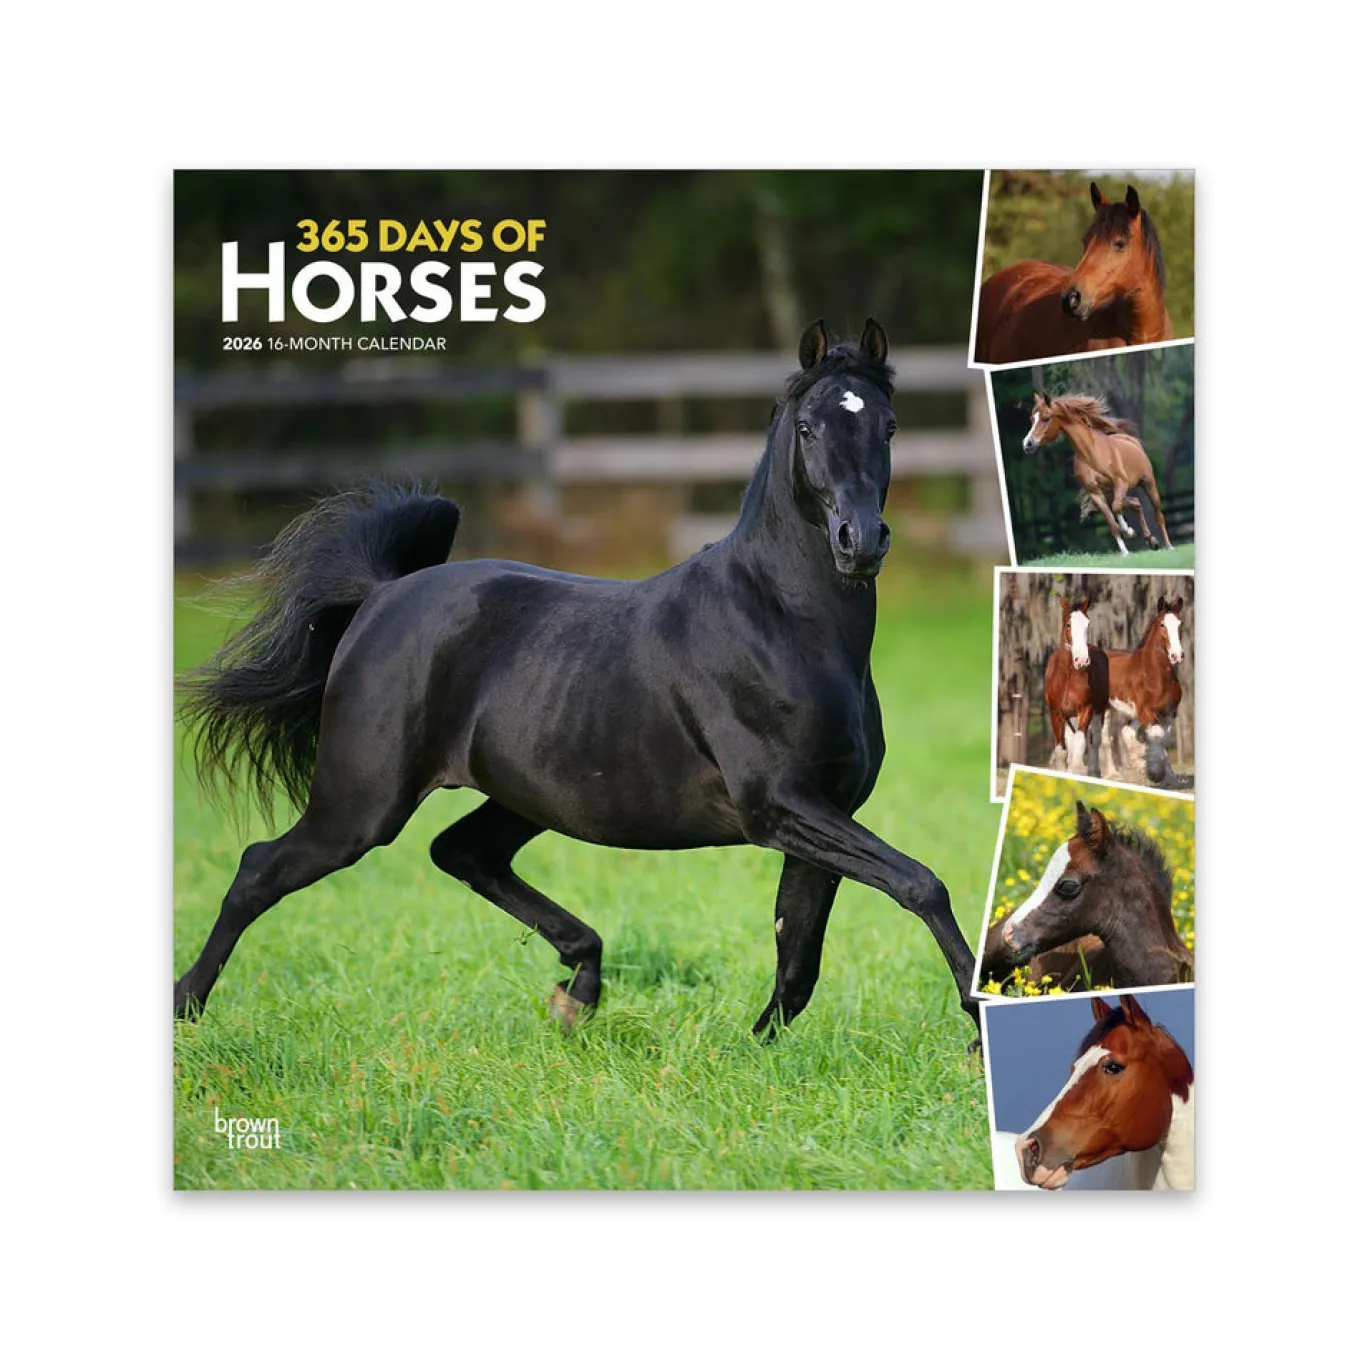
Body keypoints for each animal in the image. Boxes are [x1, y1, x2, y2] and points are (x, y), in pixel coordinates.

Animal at [174, 319, 982, 1043]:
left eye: (888, 425)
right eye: (810, 427)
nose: (860, 542)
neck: (782, 620)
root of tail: (380, 596)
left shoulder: (824, 809)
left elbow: (798, 955)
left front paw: (753, 1051)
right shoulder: (779, 806)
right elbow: (919, 884)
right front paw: (978, 1029)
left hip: (525, 797)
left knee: (463, 853)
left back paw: (579, 989)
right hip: (361, 804)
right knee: (260, 869)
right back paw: (187, 1005)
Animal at [1021, 392, 1172, 556]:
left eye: (1046, 418)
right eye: (1031, 419)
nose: (1027, 444)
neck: (1092, 454)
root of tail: (1131, 440)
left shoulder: (1121, 483)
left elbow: (1116, 508)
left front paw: (1128, 531)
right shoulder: (1096, 493)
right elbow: (1112, 523)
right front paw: (1125, 551)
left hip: (1148, 484)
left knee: (1158, 516)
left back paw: (1169, 546)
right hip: (1110, 493)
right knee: (1136, 503)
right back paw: (1151, 540)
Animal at [1043, 595, 1107, 778]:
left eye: (1088, 624)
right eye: (1068, 624)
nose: (1082, 660)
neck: (1068, 676)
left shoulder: (1086, 708)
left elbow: (1080, 744)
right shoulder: (1056, 712)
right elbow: (1061, 748)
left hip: (1099, 709)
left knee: (1094, 740)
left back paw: (1094, 771)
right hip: (1069, 716)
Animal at [1106, 595, 1185, 785]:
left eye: (1180, 624)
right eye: (1162, 624)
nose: (1177, 656)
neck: (1156, 676)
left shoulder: (1169, 713)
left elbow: (1163, 740)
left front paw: (1168, 777)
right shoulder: (1148, 712)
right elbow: (1155, 738)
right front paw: (1154, 773)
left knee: (1125, 732)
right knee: (1106, 738)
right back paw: (1114, 774)